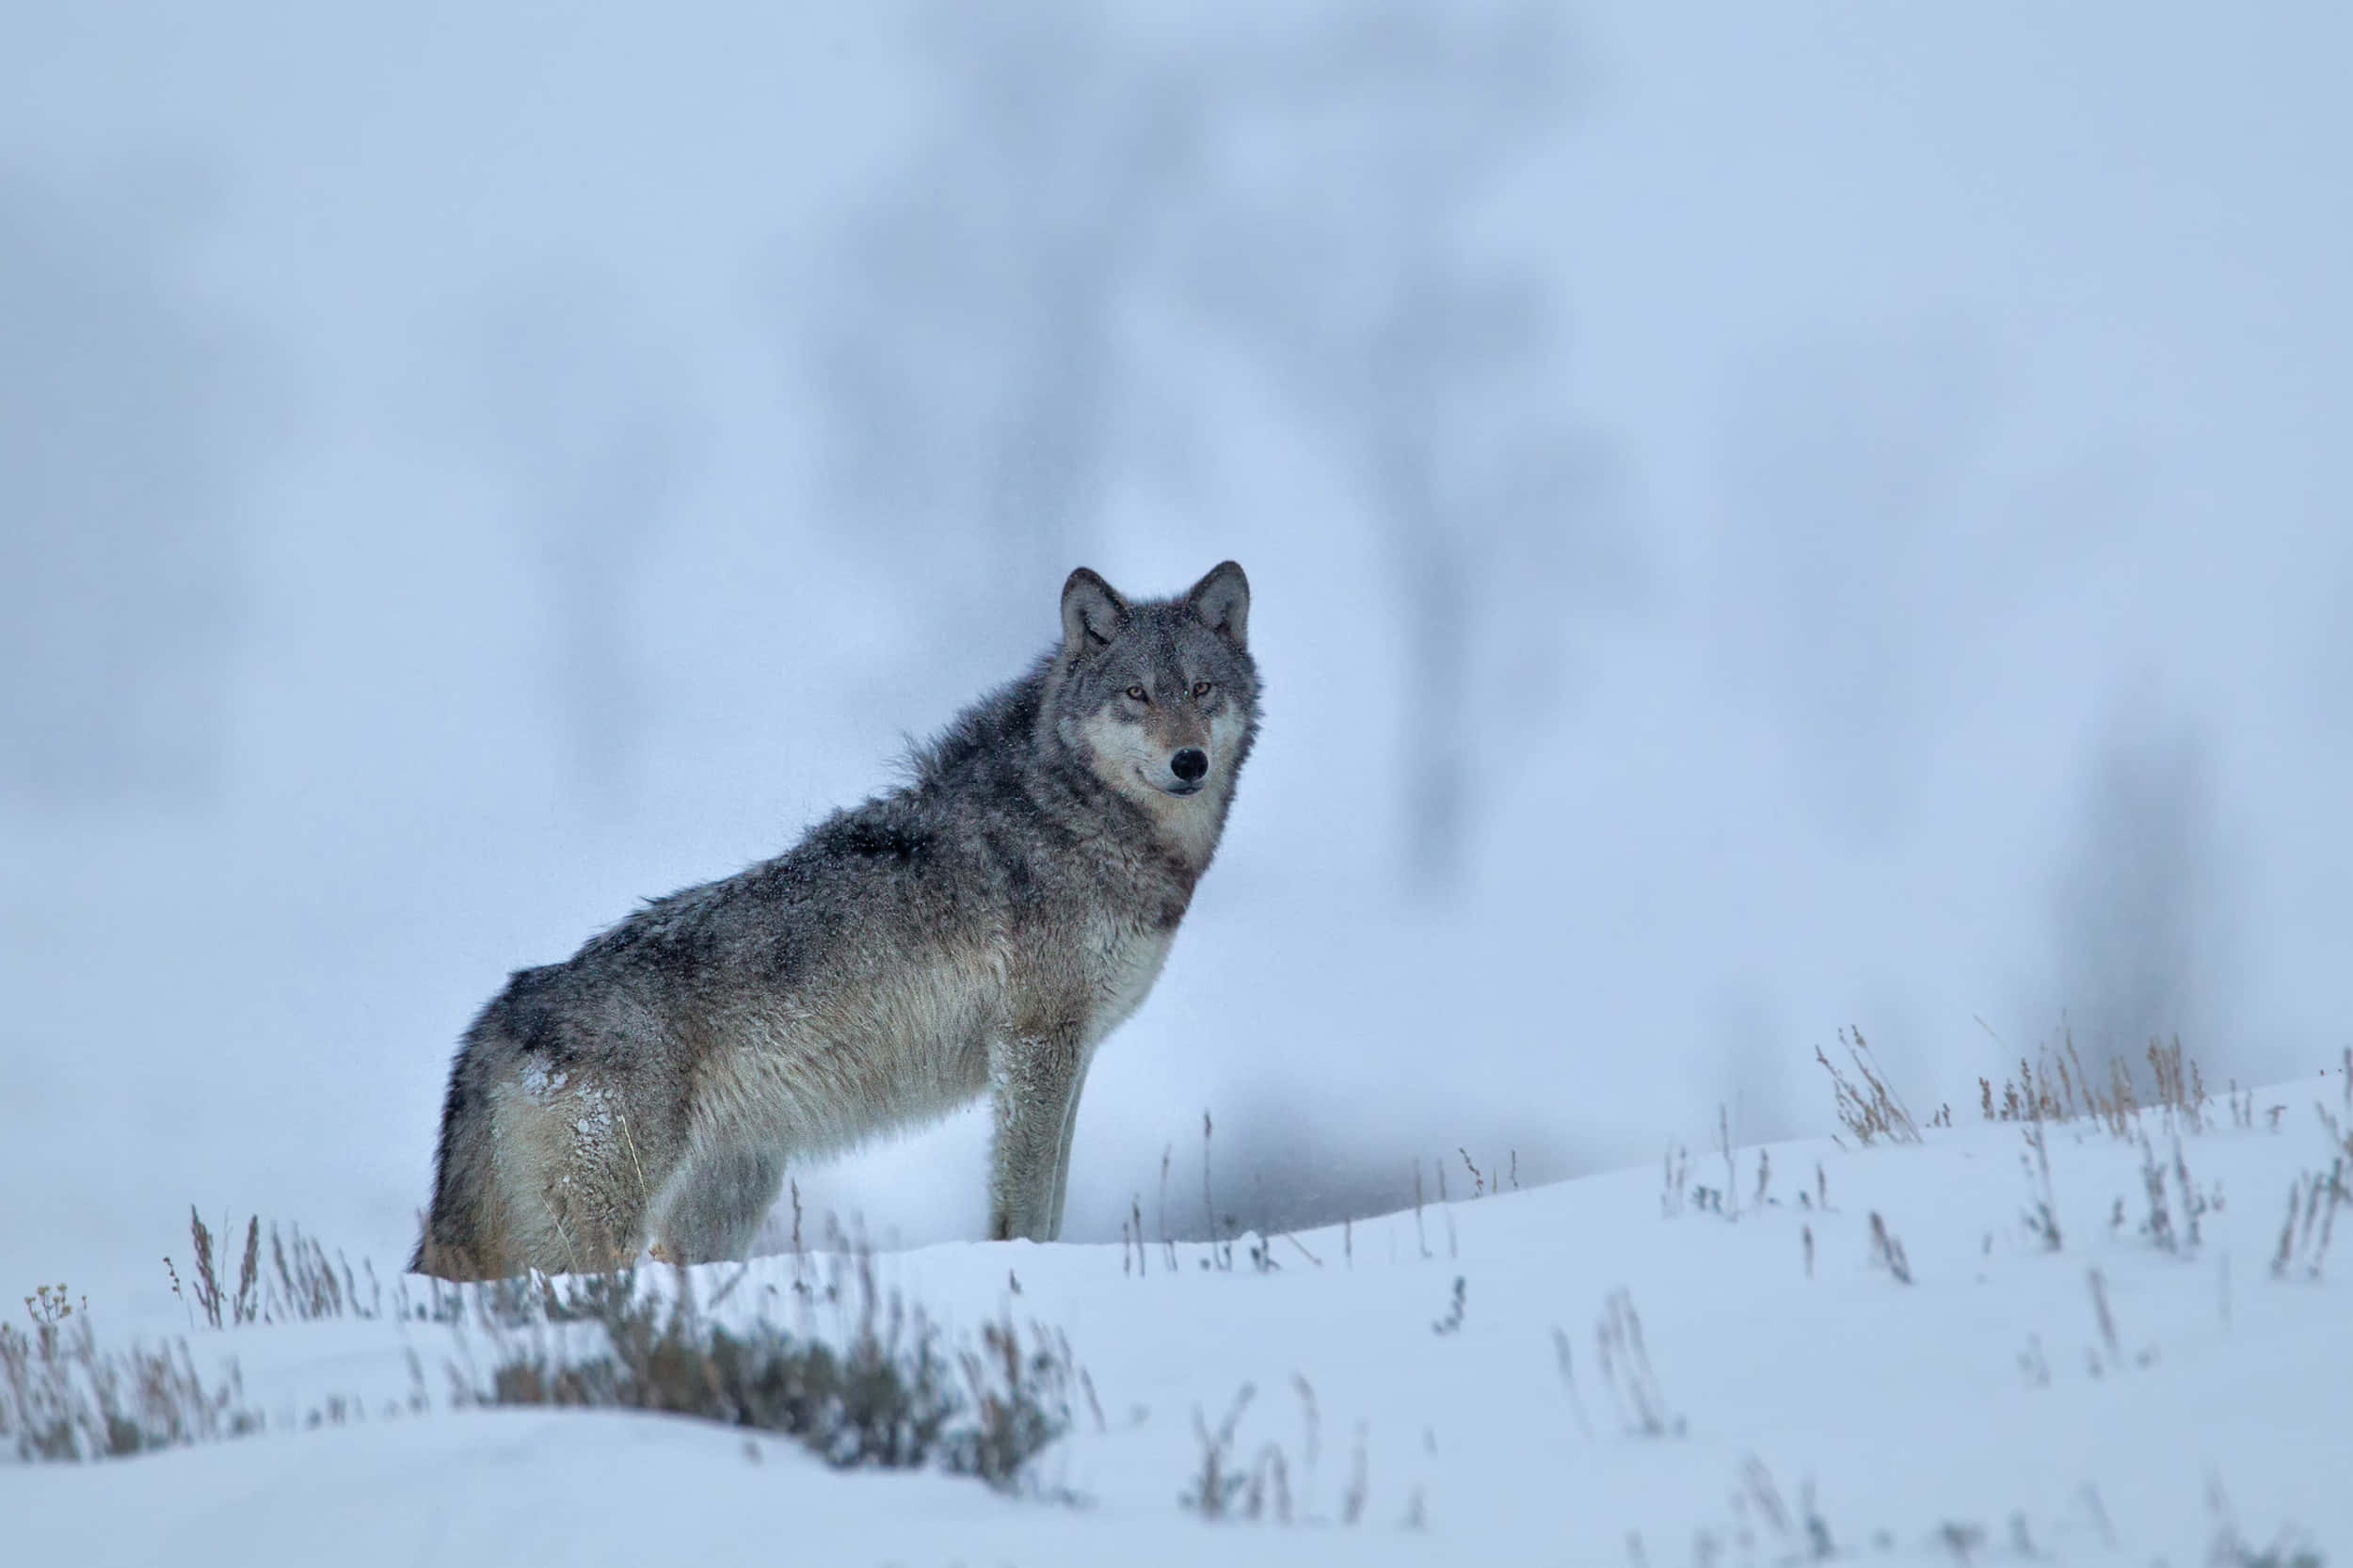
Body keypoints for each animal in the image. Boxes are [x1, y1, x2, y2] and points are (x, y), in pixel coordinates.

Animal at [411, 562, 1258, 1279]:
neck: (1080, 818)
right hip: (586, 1235)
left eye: (1203, 688)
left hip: (723, 1201)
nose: (1188, 762)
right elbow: (1026, 1207)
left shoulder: (1073, 1054)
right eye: (1137, 694)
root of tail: (499, 1014)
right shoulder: (1036, 1046)